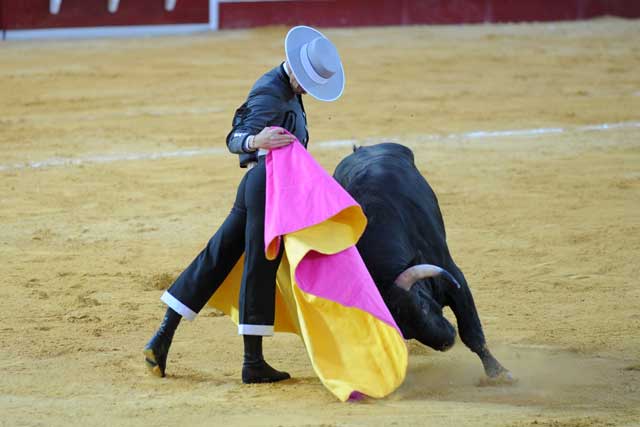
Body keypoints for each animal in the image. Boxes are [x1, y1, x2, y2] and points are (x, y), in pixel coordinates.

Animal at [336, 145, 510, 382]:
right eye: (405, 331)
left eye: (423, 306)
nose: (446, 343)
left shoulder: (454, 277)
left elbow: (471, 332)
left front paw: (498, 373)